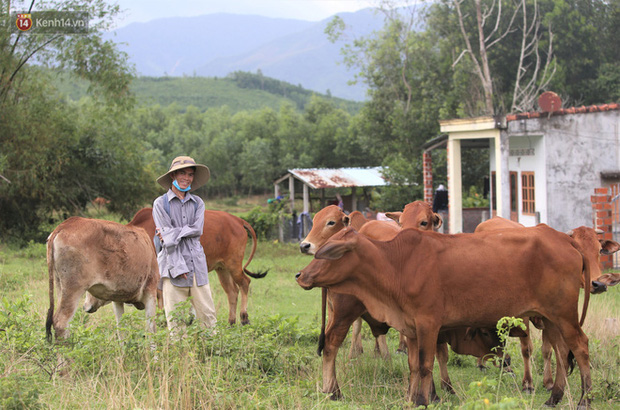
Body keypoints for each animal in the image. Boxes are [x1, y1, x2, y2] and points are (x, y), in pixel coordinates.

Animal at [127, 208, 268, 326]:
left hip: (234, 264)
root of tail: (238, 220)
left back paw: (244, 318)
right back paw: (231, 322)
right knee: (232, 291)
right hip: (222, 268)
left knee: (245, 282)